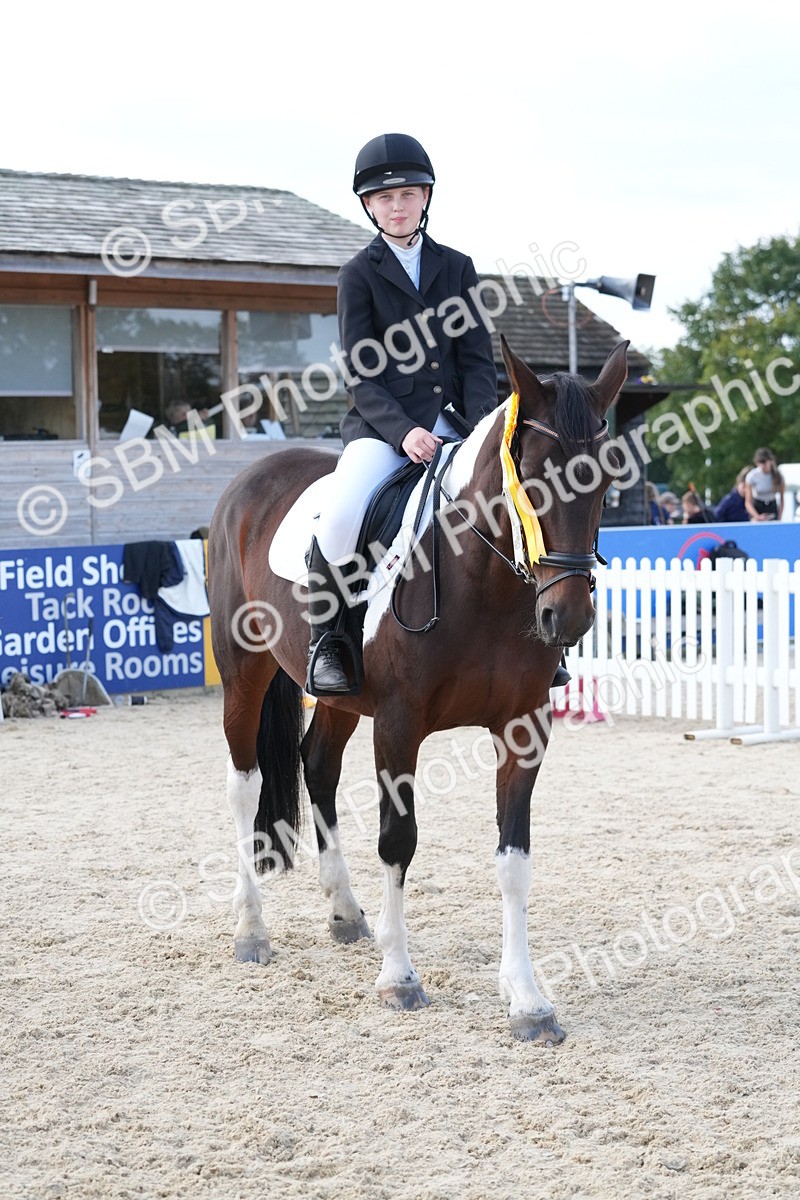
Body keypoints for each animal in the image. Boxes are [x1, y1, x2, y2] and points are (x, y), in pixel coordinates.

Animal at [207, 334, 628, 1043]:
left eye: (603, 479)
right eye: (531, 477)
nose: (565, 618)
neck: (481, 579)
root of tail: (247, 480)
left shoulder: (523, 728)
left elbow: (514, 858)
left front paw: (528, 1001)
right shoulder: (399, 723)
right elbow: (396, 841)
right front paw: (399, 978)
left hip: (341, 698)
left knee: (317, 765)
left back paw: (346, 914)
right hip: (244, 671)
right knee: (244, 784)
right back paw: (251, 930)